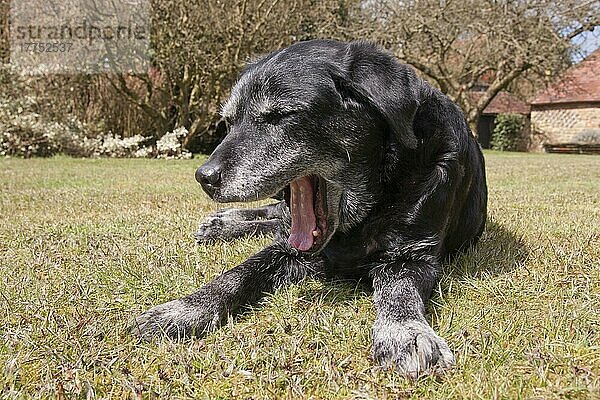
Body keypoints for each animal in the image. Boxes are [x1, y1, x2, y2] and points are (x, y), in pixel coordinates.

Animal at [136, 39, 488, 376]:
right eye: (230, 122)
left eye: (279, 116)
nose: (204, 177)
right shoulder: (287, 249)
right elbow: (238, 273)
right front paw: (183, 309)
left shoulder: (411, 256)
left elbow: (399, 293)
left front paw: (406, 333)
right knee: (274, 215)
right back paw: (221, 224)